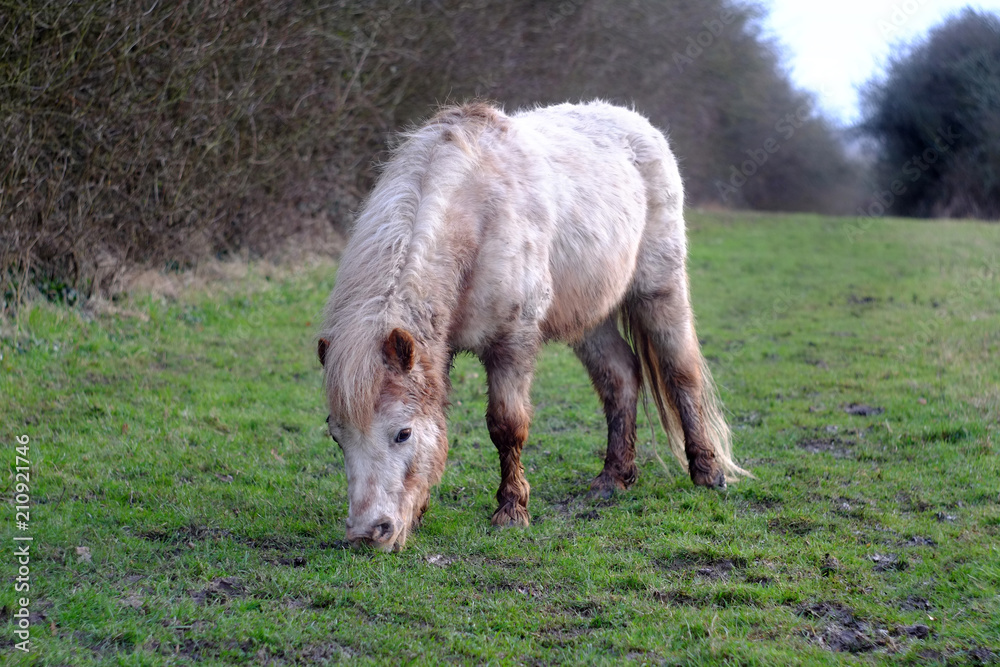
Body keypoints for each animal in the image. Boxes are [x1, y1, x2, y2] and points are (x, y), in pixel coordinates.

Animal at [317, 100, 750, 551]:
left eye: (402, 433)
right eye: (337, 435)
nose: (368, 534)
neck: (475, 214)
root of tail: (641, 125)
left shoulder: (512, 343)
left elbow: (507, 426)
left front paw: (511, 511)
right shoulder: (440, 350)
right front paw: (420, 513)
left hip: (659, 291)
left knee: (681, 373)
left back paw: (708, 472)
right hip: (590, 318)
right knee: (620, 377)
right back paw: (613, 479)